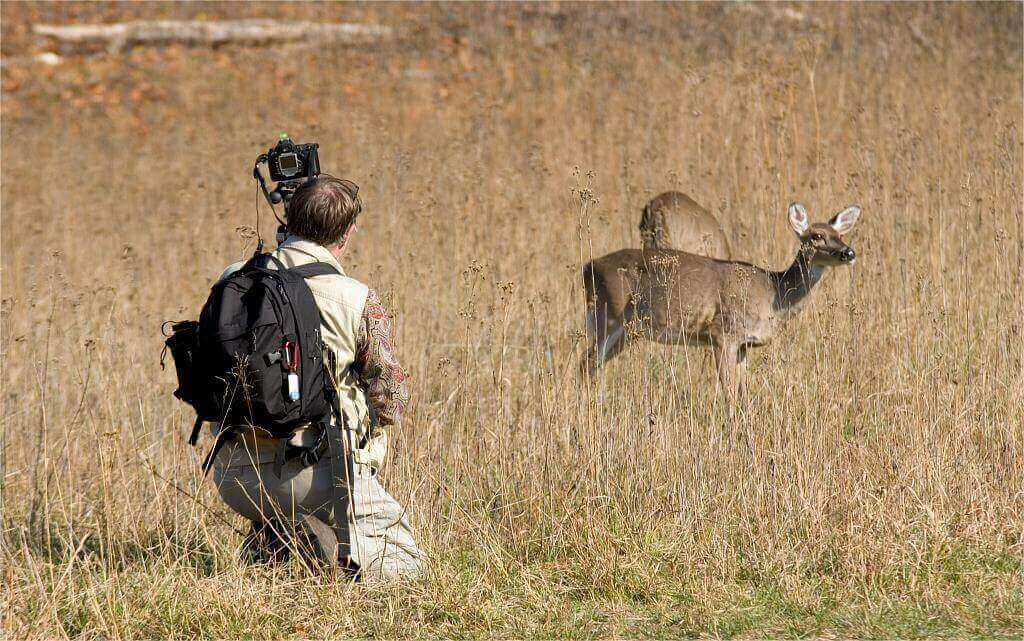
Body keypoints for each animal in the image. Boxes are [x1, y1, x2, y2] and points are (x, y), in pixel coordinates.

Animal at [581, 201, 860, 399]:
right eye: (816, 236)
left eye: (840, 235)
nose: (848, 252)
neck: (775, 292)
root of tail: (587, 267)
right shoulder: (723, 332)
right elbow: (729, 392)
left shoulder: (745, 344)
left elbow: (744, 392)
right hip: (608, 315)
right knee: (586, 361)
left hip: (627, 331)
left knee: (592, 363)